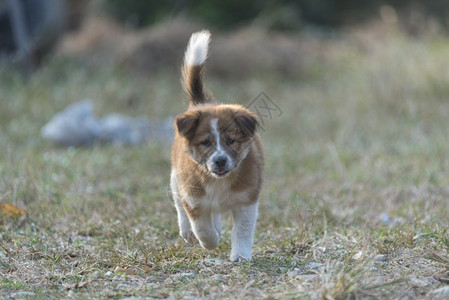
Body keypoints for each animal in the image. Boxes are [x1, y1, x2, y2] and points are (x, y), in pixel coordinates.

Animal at [171, 29, 262, 262]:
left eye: (230, 140)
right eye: (206, 142)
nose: (220, 160)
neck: (217, 181)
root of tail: (202, 103)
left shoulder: (247, 199)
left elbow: (242, 230)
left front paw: (240, 256)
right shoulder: (193, 198)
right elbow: (202, 228)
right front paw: (210, 242)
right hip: (175, 178)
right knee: (179, 205)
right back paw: (187, 231)